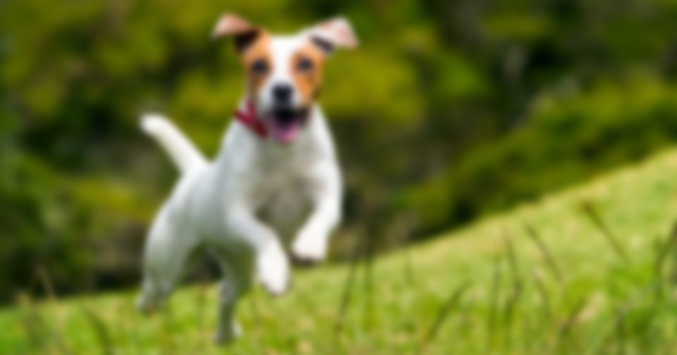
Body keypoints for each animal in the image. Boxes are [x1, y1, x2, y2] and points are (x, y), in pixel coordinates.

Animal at [138, 13, 360, 344]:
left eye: (306, 63)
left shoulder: (327, 196)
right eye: (258, 65)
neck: (282, 150)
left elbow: (322, 217)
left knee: (226, 291)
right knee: (152, 293)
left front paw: (308, 246)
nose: (281, 90)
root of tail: (194, 173)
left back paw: (226, 334)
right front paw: (277, 269)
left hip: (240, 264)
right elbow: (266, 233)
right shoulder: (238, 214)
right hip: (168, 265)